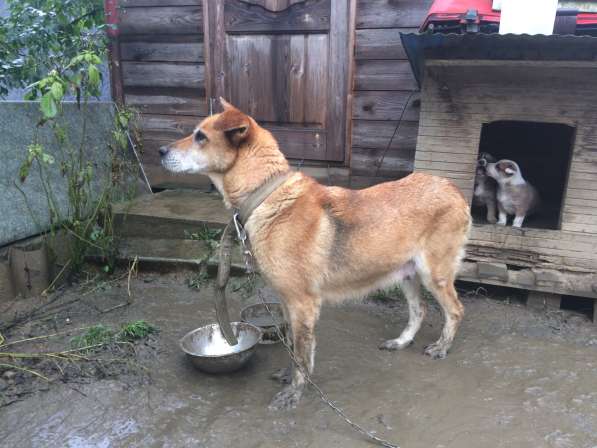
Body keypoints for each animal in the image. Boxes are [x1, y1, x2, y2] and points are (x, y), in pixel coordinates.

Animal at [157, 100, 470, 412]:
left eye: (200, 137)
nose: (160, 151)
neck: (266, 195)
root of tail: (452, 188)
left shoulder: (302, 304)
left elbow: (300, 352)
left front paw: (294, 392)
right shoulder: (286, 302)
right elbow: (292, 346)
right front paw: (289, 376)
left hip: (434, 275)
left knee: (455, 310)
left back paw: (442, 347)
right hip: (406, 273)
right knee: (420, 310)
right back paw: (401, 341)